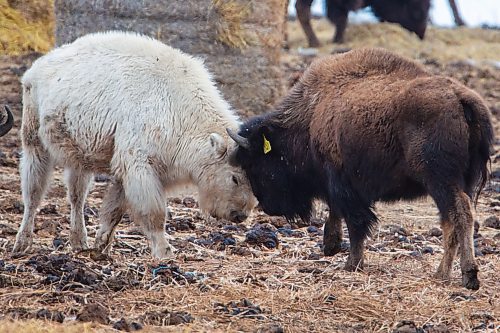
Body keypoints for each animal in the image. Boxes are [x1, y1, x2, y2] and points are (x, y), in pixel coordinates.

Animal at [14, 31, 258, 258]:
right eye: (234, 178)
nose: (240, 215)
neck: (177, 107)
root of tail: (37, 67)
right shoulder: (139, 167)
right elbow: (154, 212)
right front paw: (164, 251)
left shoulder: (126, 172)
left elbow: (114, 211)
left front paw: (101, 246)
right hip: (34, 145)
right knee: (33, 194)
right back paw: (22, 244)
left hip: (79, 159)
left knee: (77, 197)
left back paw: (79, 242)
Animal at [229, 48, 494, 290]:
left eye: (257, 164)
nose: (267, 206)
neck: (311, 114)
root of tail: (461, 98)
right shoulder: (336, 182)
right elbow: (337, 211)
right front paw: (331, 246)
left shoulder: (342, 182)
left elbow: (354, 221)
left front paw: (351, 263)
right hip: (457, 182)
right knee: (450, 220)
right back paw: (441, 274)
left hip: (440, 180)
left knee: (460, 214)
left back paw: (468, 275)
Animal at [294, 0, 432, 45]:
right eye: (416, 9)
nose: (421, 34)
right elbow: (341, 18)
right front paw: (339, 40)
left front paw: (338, 40)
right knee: (302, 9)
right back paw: (315, 43)